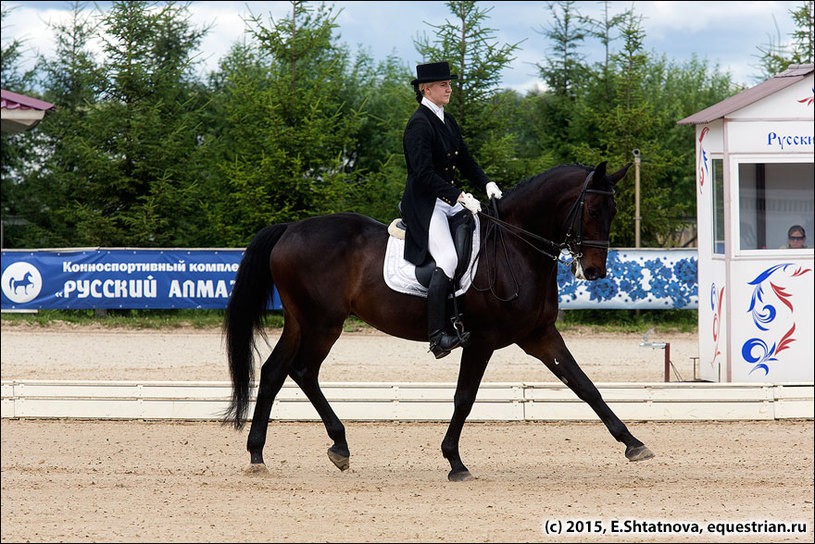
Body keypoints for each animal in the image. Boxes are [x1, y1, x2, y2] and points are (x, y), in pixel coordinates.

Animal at [223, 160, 656, 480]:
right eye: (592, 209)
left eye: (615, 210)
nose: (596, 271)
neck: (516, 248)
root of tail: (290, 230)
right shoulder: (482, 340)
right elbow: (464, 398)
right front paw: (455, 461)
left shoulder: (539, 334)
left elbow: (584, 385)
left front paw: (633, 443)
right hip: (323, 324)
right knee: (302, 371)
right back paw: (338, 446)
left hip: (301, 322)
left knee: (274, 371)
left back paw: (257, 455)